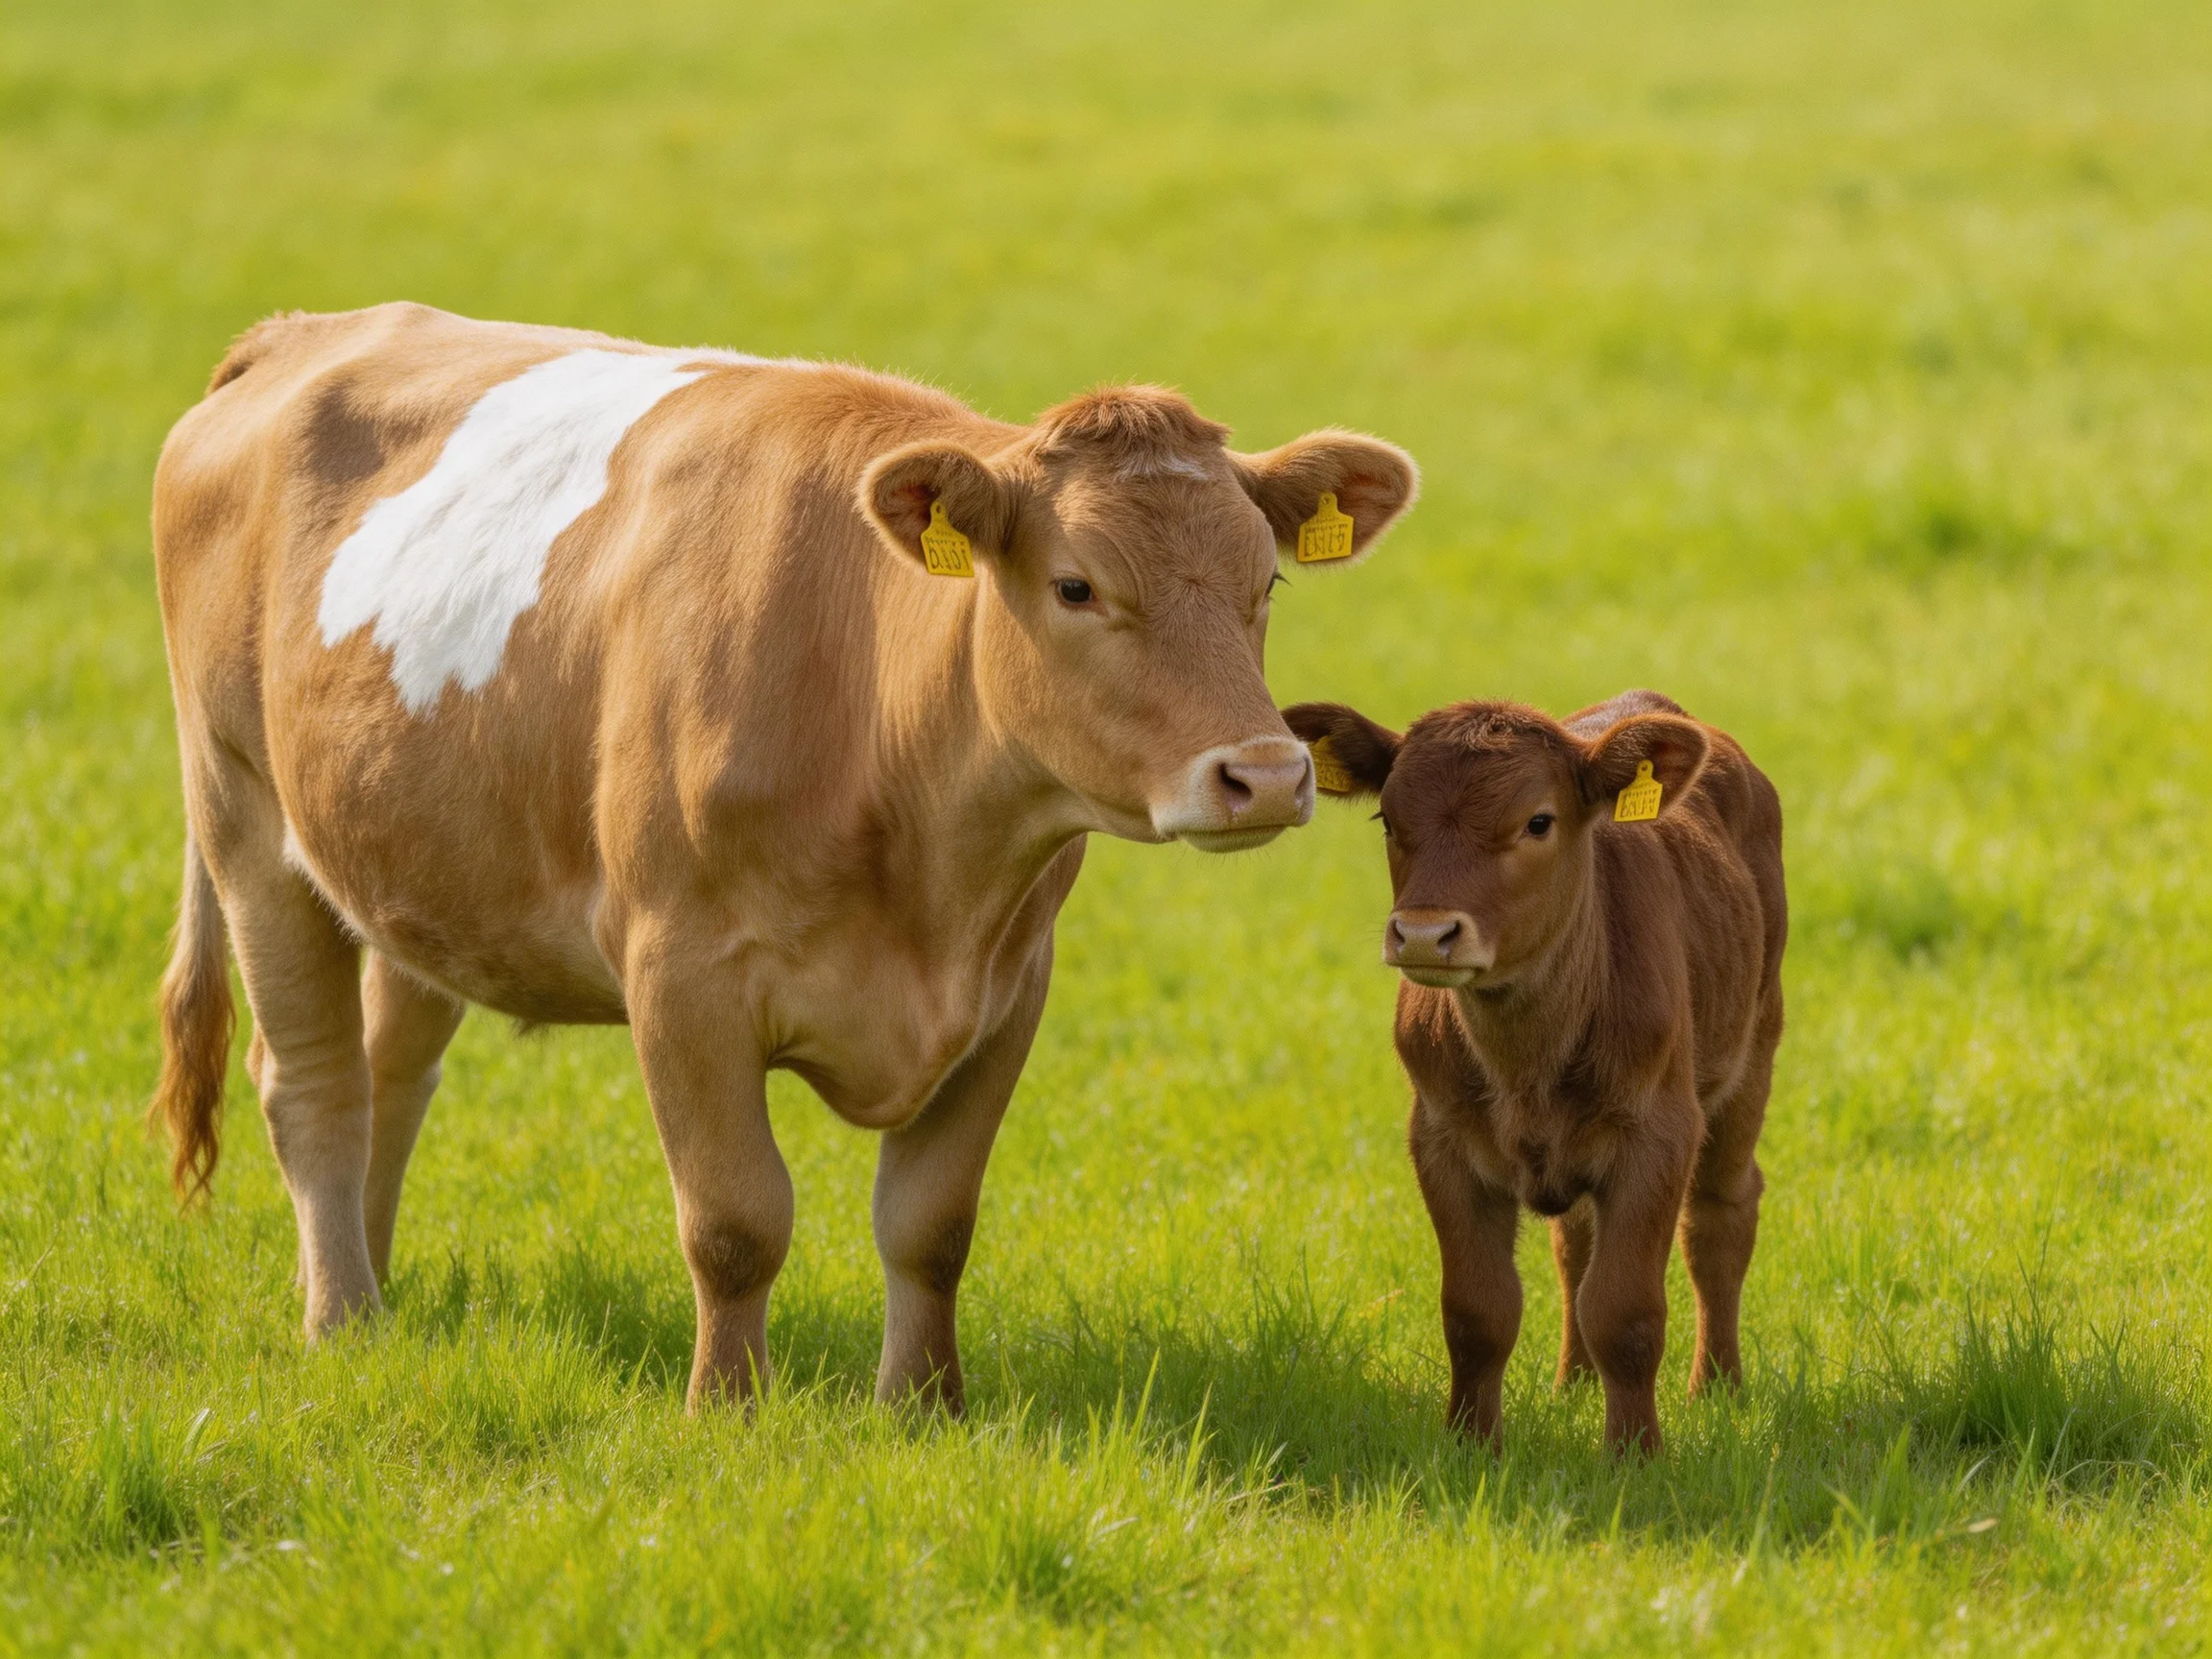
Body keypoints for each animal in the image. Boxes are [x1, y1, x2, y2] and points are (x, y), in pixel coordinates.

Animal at [150, 303, 1418, 1412]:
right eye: (1076, 585)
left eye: (1266, 581)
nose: (1265, 774)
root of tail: (303, 333)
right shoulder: (681, 974)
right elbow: (735, 1220)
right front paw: (729, 1410)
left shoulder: (1011, 986)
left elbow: (930, 1224)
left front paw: (921, 1410)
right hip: (244, 815)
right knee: (313, 1085)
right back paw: (342, 1321)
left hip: (416, 864)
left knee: (391, 1072)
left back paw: (371, 1285)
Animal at [1283, 690, 1784, 1454]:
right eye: (1388, 819)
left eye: (1538, 821)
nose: (1424, 933)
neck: (1528, 1064)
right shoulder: (1441, 1138)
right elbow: (1477, 1311)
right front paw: (1470, 1445)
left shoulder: (1658, 1134)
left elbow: (1627, 1312)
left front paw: (1634, 1454)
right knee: (1574, 1242)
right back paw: (1572, 1384)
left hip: (1752, 1050)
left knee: (1720, 1217)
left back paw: (1717, 1389)